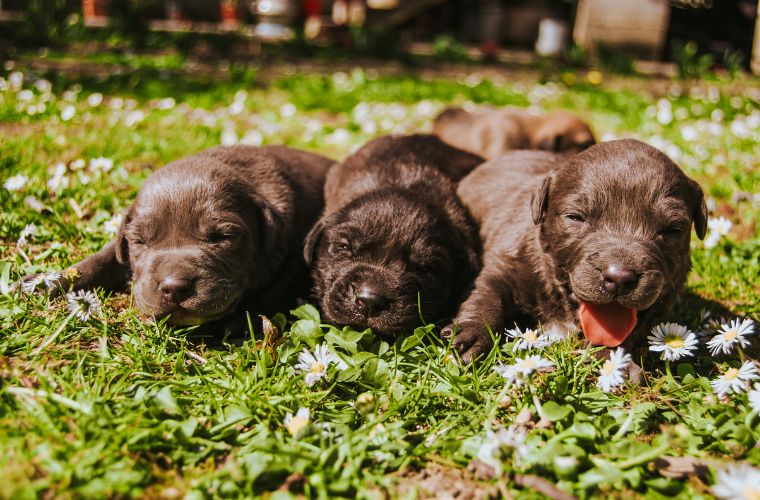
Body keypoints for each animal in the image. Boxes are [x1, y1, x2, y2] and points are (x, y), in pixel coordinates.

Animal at [21, 146, 332, 328]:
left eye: (223, 237)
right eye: (140, 241)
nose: (174, 288)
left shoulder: (295, 255)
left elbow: (271, 293)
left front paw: (236, 322)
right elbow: (102, 259)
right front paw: (43, 282)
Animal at [446, 139, 708, 362]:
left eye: (672, 229)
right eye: (576, 217)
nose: (620, 278)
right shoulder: (505, 263)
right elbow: (488, 294)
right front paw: (472, 334)